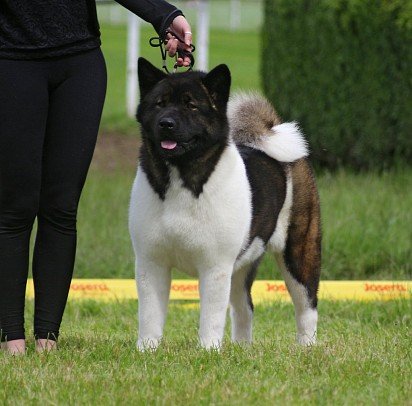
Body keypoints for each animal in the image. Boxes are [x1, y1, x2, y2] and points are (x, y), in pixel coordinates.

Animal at [129, 55, 322, 350]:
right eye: (159, 104)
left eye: (191, 105)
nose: (166, 123)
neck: (182, 176)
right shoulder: (151, 262)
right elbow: (150, 314)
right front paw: (146, 350)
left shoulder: (215, 266)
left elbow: (211, 316)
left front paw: (208, 350)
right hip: (242, 264)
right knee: (245, 308)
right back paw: (242, 348)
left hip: (298, 252)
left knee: (306, 305)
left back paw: (306, 347)